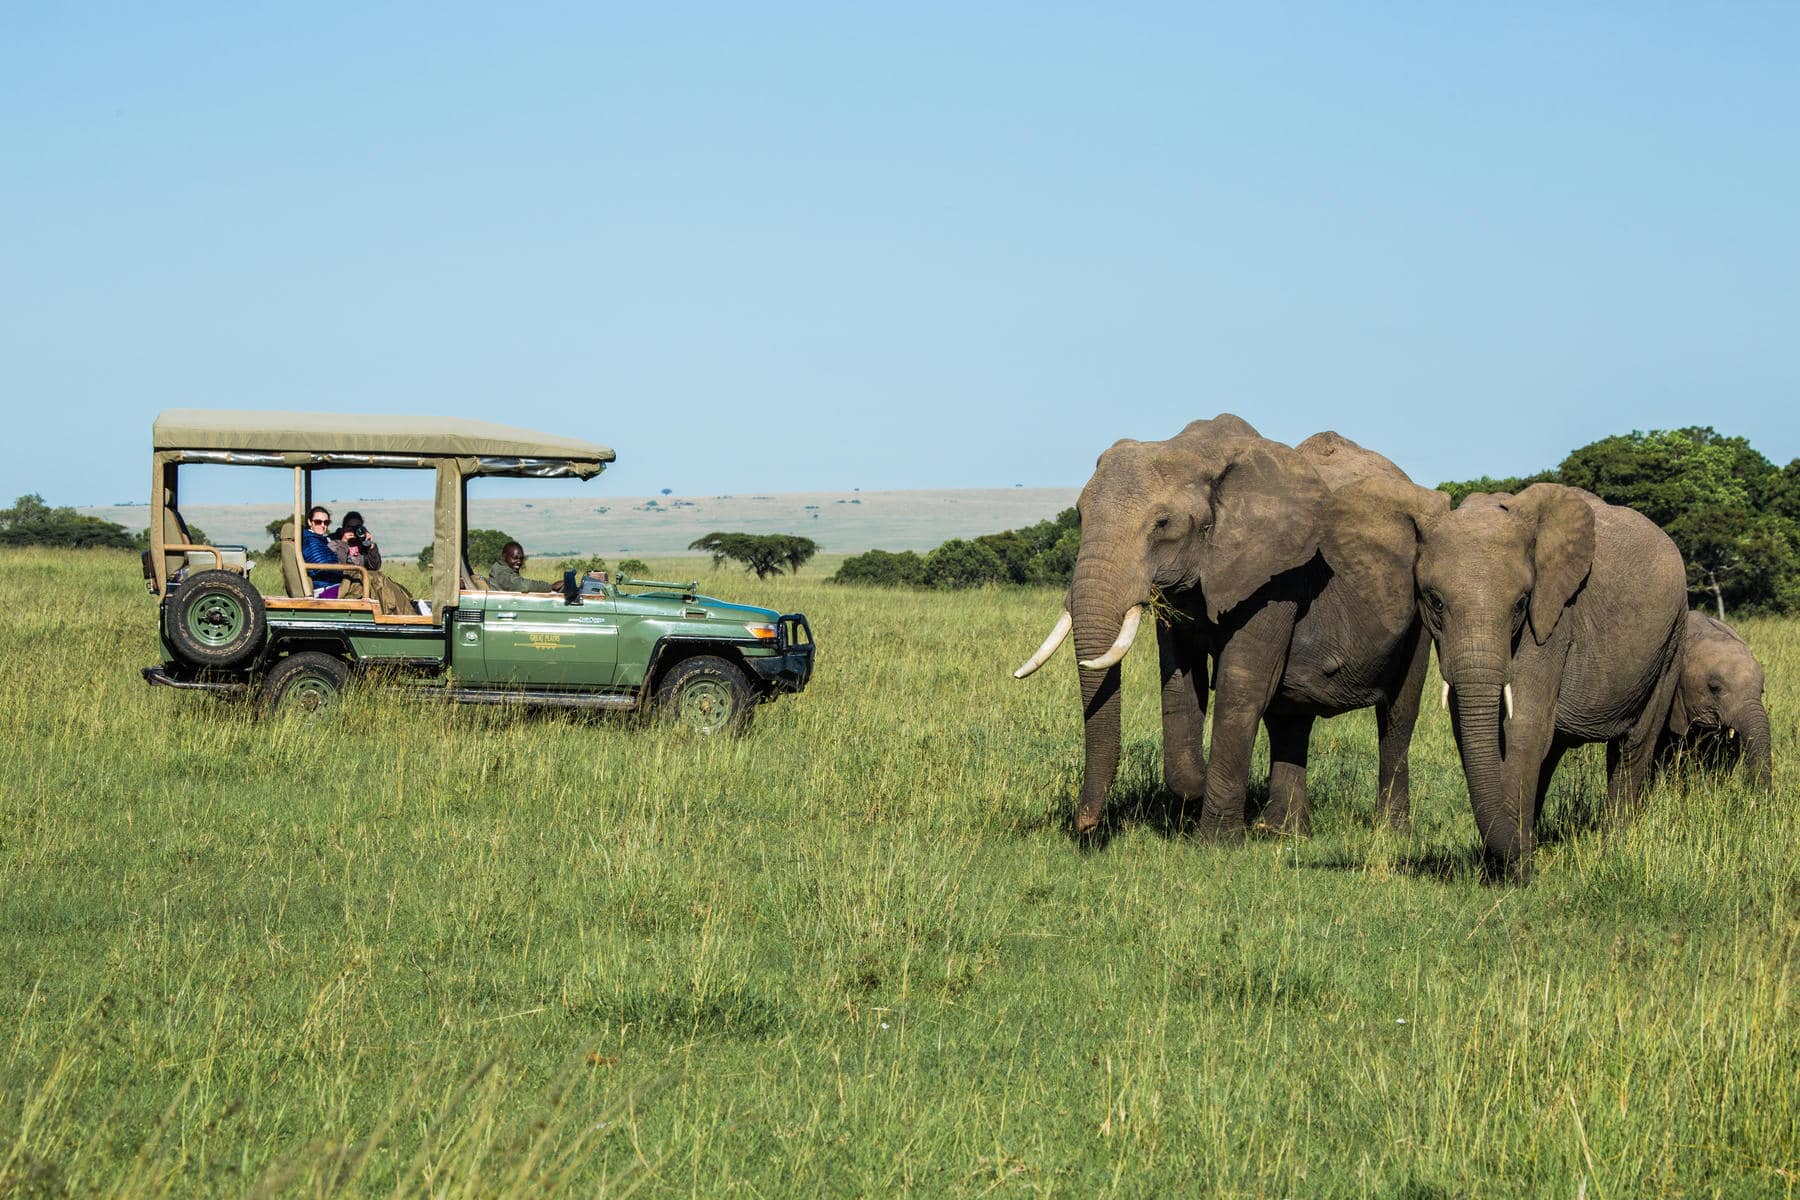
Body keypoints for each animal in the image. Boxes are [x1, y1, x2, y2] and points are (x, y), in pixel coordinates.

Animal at [1014, 415, 1448, 839]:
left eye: (1162, 523)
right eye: (1080, 515)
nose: (1085, 825)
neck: (1198, 450)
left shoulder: (1275, 574)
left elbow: (1243, 684)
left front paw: (1215, 841)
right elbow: (1180, 683)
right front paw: (1196, 788)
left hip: (1419, 614)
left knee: (1398, 715)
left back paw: (1389, 834)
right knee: (1290, 716)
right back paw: (1282, 833)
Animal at [1414, 484, 1687, 882]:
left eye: (1520, 604)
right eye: (1435, 602)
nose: (1530, 863)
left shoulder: (1554, 618)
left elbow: (1522, 731)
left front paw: (1515, 876)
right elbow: (1473, 734)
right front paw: (1498, 870)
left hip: (1673, 639)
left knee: (1634, 745)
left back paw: (1611, 854)